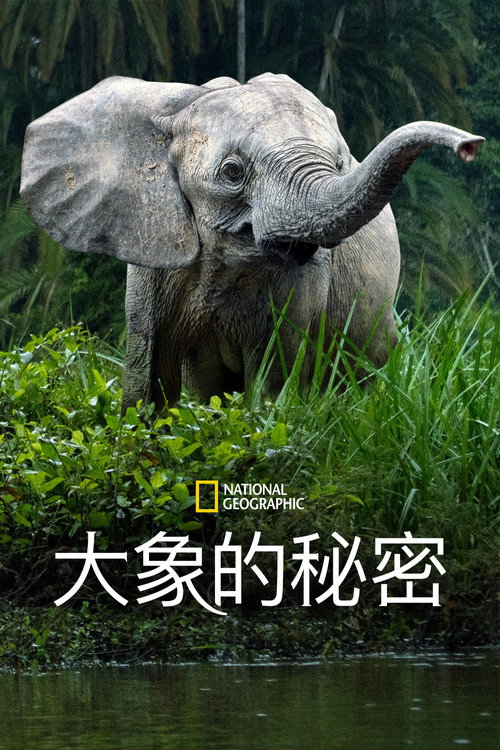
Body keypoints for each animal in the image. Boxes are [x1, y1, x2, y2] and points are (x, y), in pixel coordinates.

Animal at [20, 73, 483, 408]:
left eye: (340, 164)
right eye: (232, 172)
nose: (471, 146)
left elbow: (273, 379)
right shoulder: (152, 252)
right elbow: (148, 379)